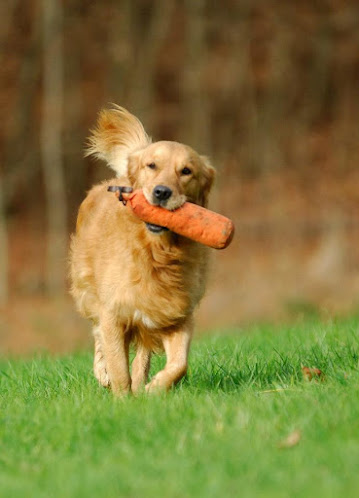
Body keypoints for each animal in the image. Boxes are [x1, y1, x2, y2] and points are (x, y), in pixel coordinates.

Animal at [69, 106, 215, 396]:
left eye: (186, 171)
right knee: (98, 336)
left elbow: (179, 364)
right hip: (88, 292)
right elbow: (117, 366)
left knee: (143, 354)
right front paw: (122, 399)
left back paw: (141, 382)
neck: (156, 252)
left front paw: (154, 388)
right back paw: (103, 373)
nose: (161, 192)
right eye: (152, 165)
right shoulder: (113, 312)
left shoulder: (175, 313)